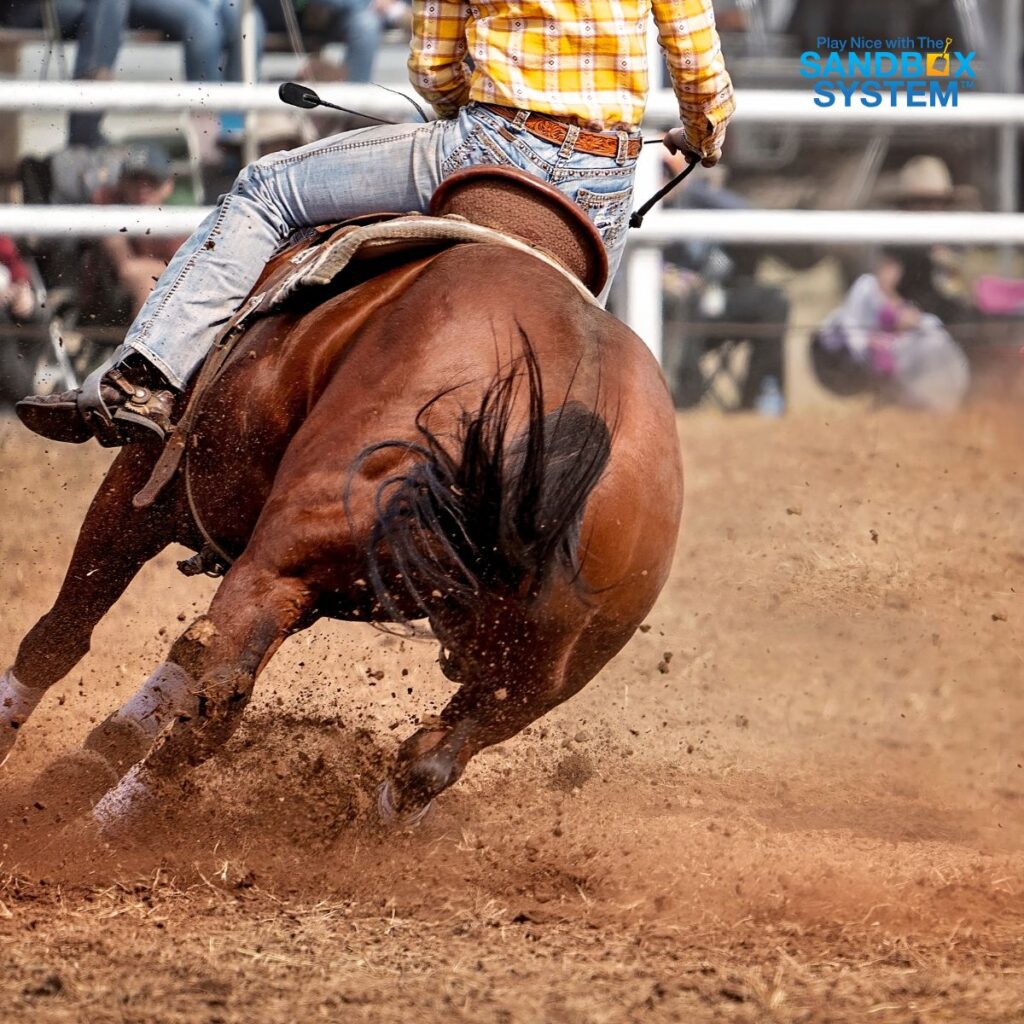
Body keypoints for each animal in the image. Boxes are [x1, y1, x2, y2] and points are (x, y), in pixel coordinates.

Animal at [0, 168, 684, 831]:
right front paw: (95, 753)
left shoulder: (152, 487)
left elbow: (63, 631)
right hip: (530, 673)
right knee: (427, 762)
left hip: (283, 556)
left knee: (216, 691)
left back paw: (91, 833)